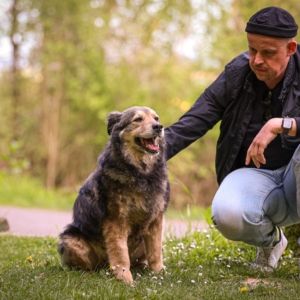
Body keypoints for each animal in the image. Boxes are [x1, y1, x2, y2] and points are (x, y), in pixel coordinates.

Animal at [57, 106, 170, 284]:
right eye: (138, 119)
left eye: (156, 118)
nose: (159, 127)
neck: (141, 172)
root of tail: (104, 264)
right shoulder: (116, 221)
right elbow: (120, 254)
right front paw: (125, 279)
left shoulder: (156, 221)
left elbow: (155, 252)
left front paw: (158, 273)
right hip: (70, 240)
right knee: (88, 265)